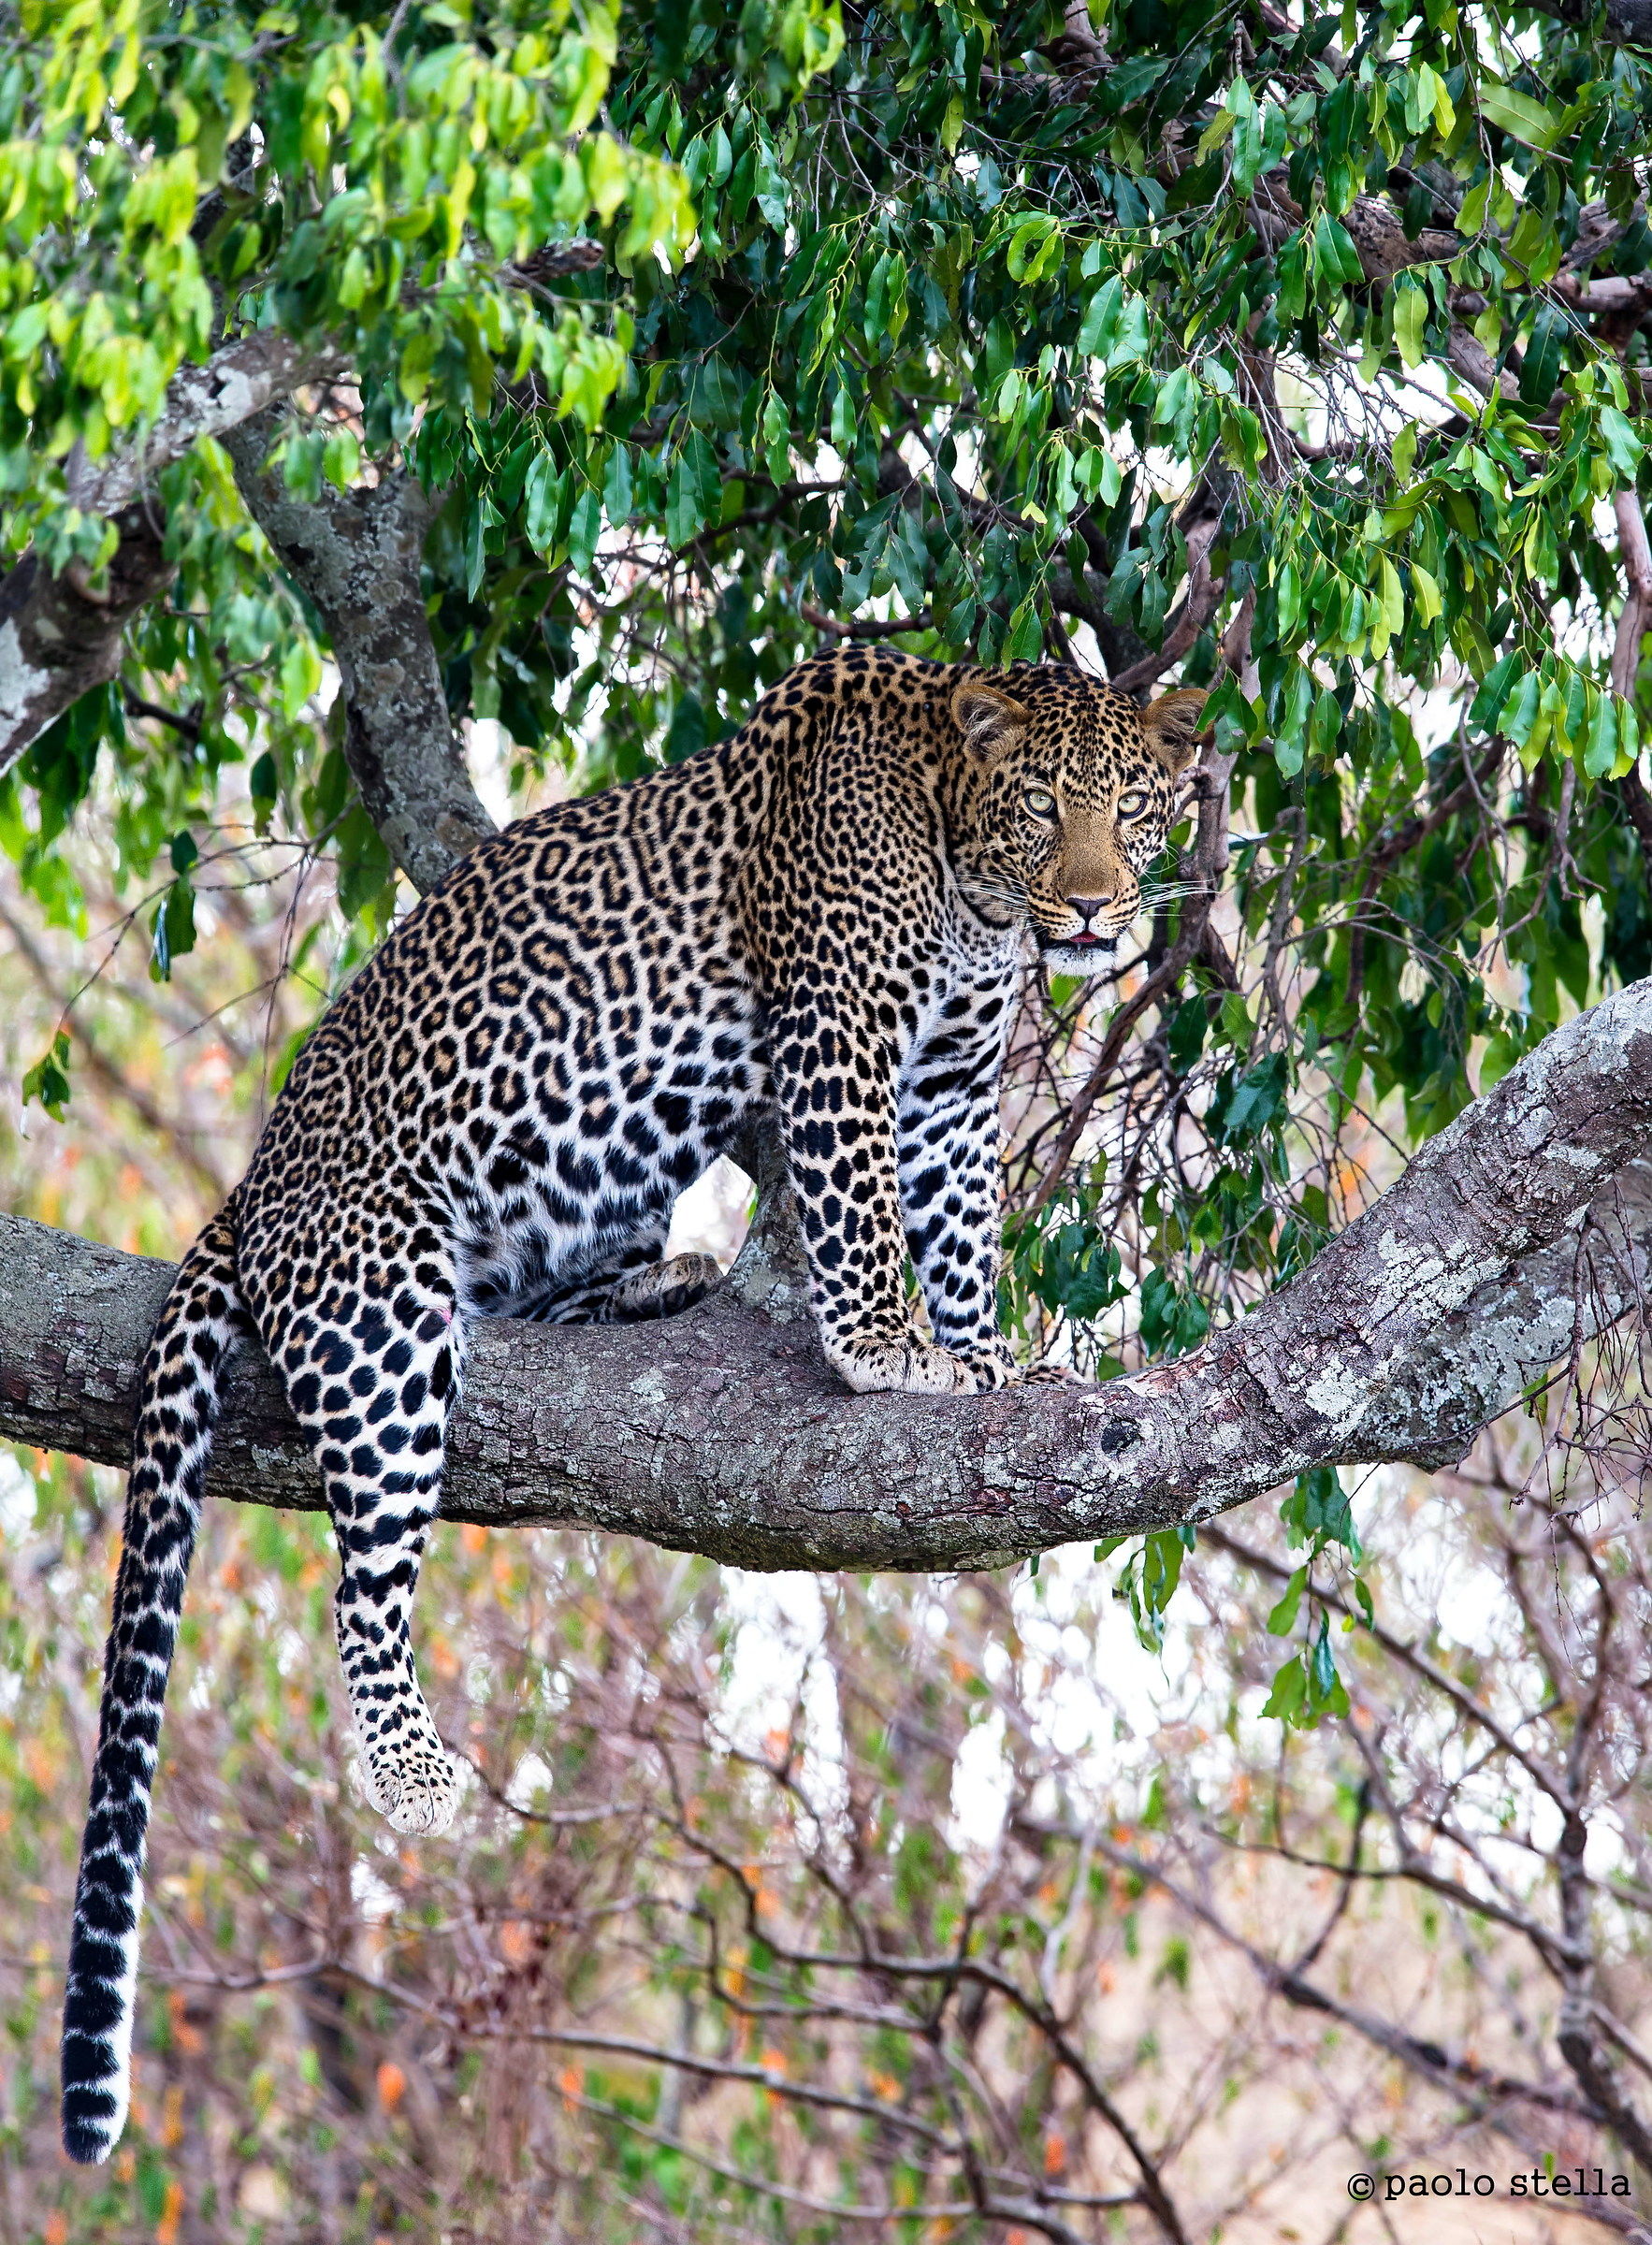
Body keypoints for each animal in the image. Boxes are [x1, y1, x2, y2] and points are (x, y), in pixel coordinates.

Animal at [60, 645, 1205, 2162]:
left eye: (1130, 811)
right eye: (1038, 811)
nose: (1086, 907)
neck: (965, 878)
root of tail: (246, 1194)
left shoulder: (957, 1084)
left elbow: (962, 1224)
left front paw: (987, 1353)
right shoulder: (837, 1034)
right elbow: (859, 1209)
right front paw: (887, 1350)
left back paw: (656, 1288)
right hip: (382, 1309)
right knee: (363, 1567)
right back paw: (413, 1775)